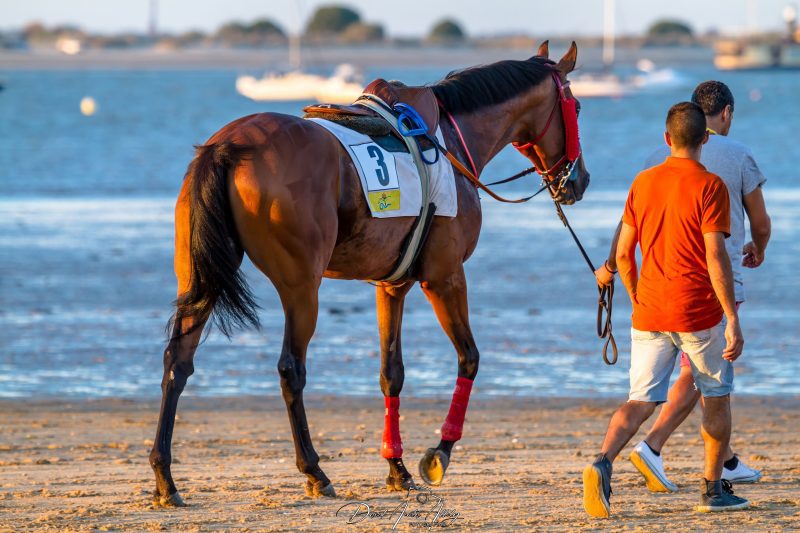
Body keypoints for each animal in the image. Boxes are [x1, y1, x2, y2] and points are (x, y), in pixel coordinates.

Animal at [149, 41, 591, 506]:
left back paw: (165, 476)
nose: (578, 180)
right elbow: (469, 358)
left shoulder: (391, 285)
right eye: (577, 106)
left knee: (178, 361)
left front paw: (396, 466)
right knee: (291, 369)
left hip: (199, 279)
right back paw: (314, 470)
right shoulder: (445, 276)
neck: (449, 141)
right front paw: (439, 452)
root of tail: (228, 145)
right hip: (301, 287)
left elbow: (391, 373)